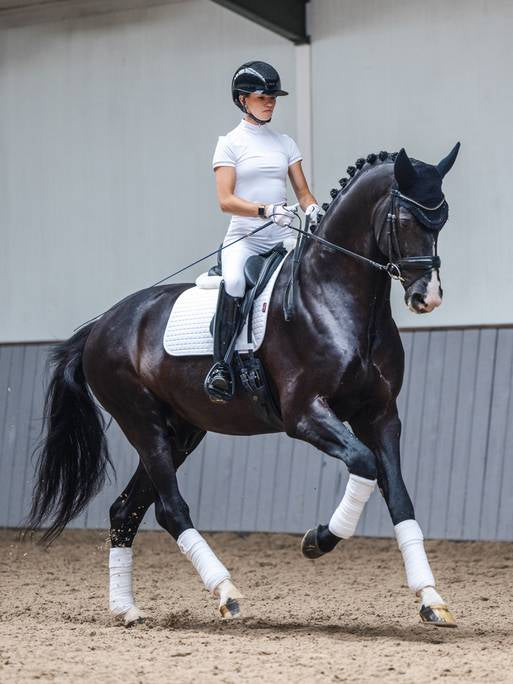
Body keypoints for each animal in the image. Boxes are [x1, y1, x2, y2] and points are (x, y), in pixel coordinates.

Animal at [26, 143, 460, 627]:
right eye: (404, 219)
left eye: (442, 219)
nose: (428, 297)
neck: (334, 297)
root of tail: (101, 325)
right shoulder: (305, 415)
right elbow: (364, 464)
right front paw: (317, 540)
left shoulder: (380, 415)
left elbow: (399, 496)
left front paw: (430, 598)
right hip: (142, 423)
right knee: (170, 508)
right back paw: (226, 592)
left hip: (181, 431)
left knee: (126, 510)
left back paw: (127, 610)